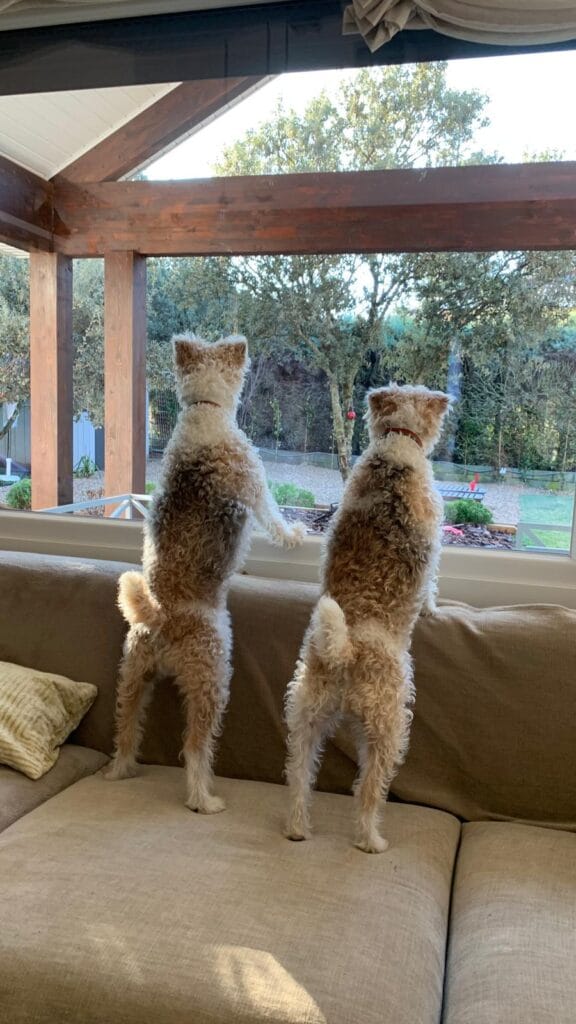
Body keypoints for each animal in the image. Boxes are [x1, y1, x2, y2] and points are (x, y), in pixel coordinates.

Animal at [108, 335, 305, 815]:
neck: (205, 407)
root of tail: (159, 618)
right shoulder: (254, 482)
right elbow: (274, 518)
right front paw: (296, 534)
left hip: (132, 677)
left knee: (125, 732)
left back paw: (121, 771)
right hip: (211, 677)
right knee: (195, 748)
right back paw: (205, 799)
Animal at [282, 382, 448, 847]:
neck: (396, 446)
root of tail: (347, 650)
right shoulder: (434, 540)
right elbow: (432, 582)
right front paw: (433, 608)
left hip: (307, 713)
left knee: (298, 777)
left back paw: (298, 829)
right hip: (389, 725)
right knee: (370, 790)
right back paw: (372, 840)